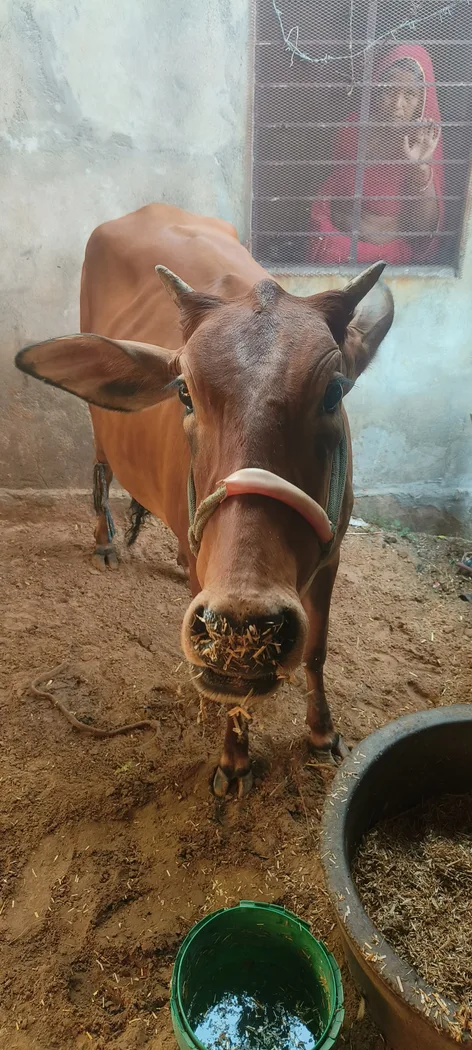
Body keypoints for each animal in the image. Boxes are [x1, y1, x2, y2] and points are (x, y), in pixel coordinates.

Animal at [15, 203, 394, 797]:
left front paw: (322, 734)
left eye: (334, 392)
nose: (242, 618)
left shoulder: (332, 551)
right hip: (100, 428)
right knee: (100, 471)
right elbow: (230, 689)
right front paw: (234, 760)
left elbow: (316, 649)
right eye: (185, 393)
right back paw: (105, 542)